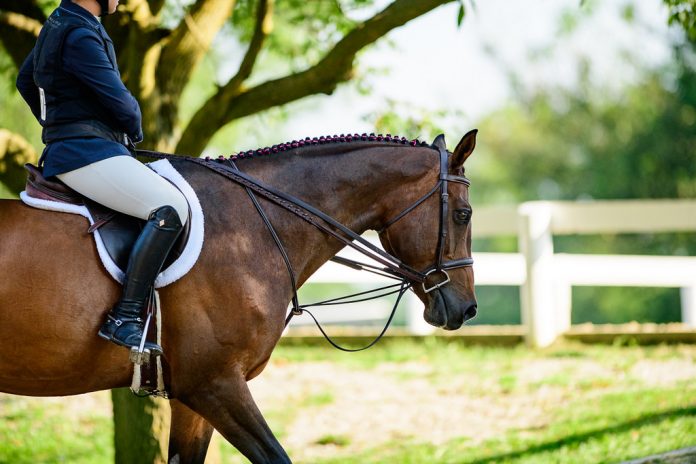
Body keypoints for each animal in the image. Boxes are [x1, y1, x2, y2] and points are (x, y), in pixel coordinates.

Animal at [0, 129, 478, 463]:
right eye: (463, 214)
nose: (467, 308)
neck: (252, 227)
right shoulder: (215, 384)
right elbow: (277, 457)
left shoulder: (191, 397)